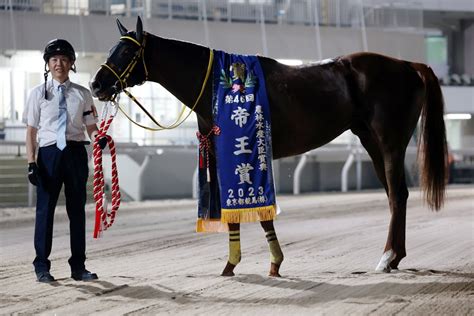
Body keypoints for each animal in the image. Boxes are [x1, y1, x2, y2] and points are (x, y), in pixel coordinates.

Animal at [90, 16, 448, 276]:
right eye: (111, 49)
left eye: (126, 53)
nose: (96, 84)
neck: (219, 88)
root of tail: (408, 65)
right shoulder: (226, 153)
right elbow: (236, 212)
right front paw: (232, 265)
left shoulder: (248, 149)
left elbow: (259, 211)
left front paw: (272, 262)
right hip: (371, 142)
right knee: (395, 196)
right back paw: (395, 257)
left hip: (390, 143)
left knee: (397, 195)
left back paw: (387, 257)